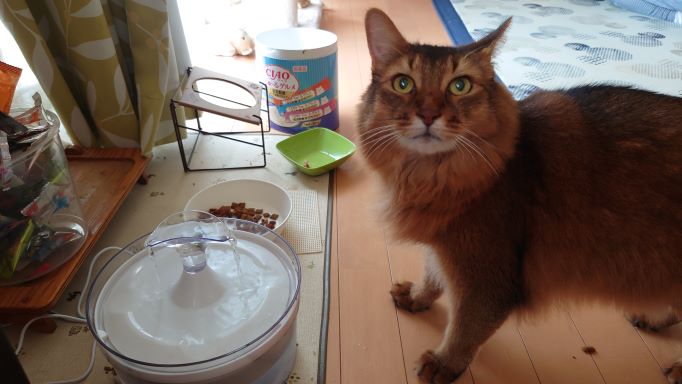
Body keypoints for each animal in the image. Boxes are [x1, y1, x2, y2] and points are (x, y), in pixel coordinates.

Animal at [356, 6, 680, 384]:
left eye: (460, 85)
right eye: (403, 83)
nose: (428, 115)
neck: (432, 175)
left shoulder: (487, 275)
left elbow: (465, 327)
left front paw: (445, 362)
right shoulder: (445, 244)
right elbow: (433, 273)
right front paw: (419, 296)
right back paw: (653, 317)